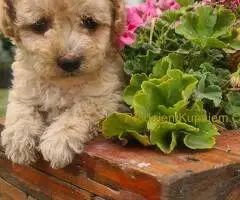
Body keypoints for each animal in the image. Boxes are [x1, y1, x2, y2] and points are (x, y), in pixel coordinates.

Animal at [0, 0, 126, 169]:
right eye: (39, 24)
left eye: (90, 22)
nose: (69, 61)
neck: (61, 84)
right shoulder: (23, 87)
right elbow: (20, 109)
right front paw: (19, 140)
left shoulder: (105, 97)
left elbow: (79, 111)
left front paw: (58, 142)